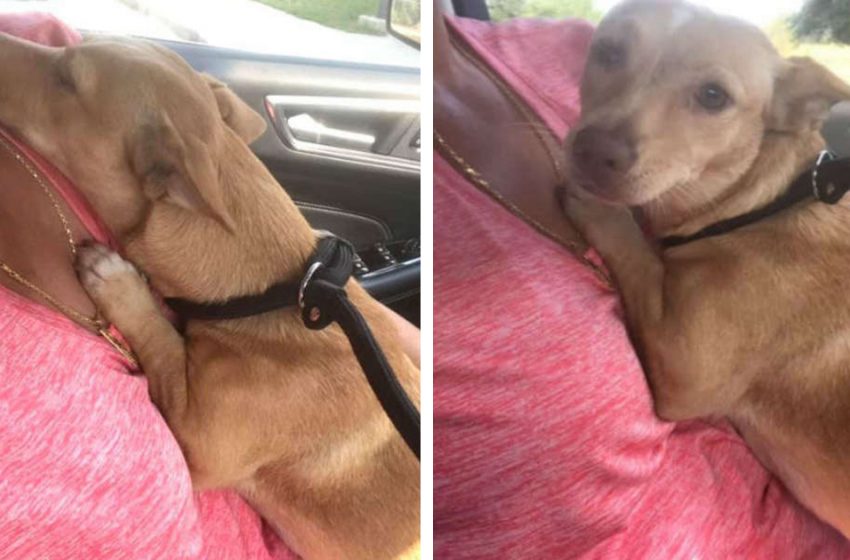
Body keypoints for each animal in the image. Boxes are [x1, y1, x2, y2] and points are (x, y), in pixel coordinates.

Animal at [564, 1, 850, 540]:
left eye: (714, 96)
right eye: (609, 50)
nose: (592, 152)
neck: (766, 204)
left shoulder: (684, 366)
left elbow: (634, 247)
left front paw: (599, 209)